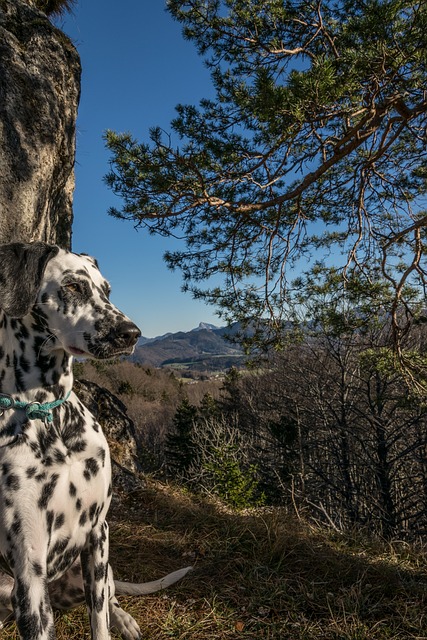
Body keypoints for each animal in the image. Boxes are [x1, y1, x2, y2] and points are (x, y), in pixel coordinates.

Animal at [0, 242, 191, 636]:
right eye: (73, 286)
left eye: (107, 290)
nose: (131, 334)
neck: (51, 414)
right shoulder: (29, 565)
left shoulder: (97, 534)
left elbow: (99, 620)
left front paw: (113, 621)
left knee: (111, 597)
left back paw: (124, 619)